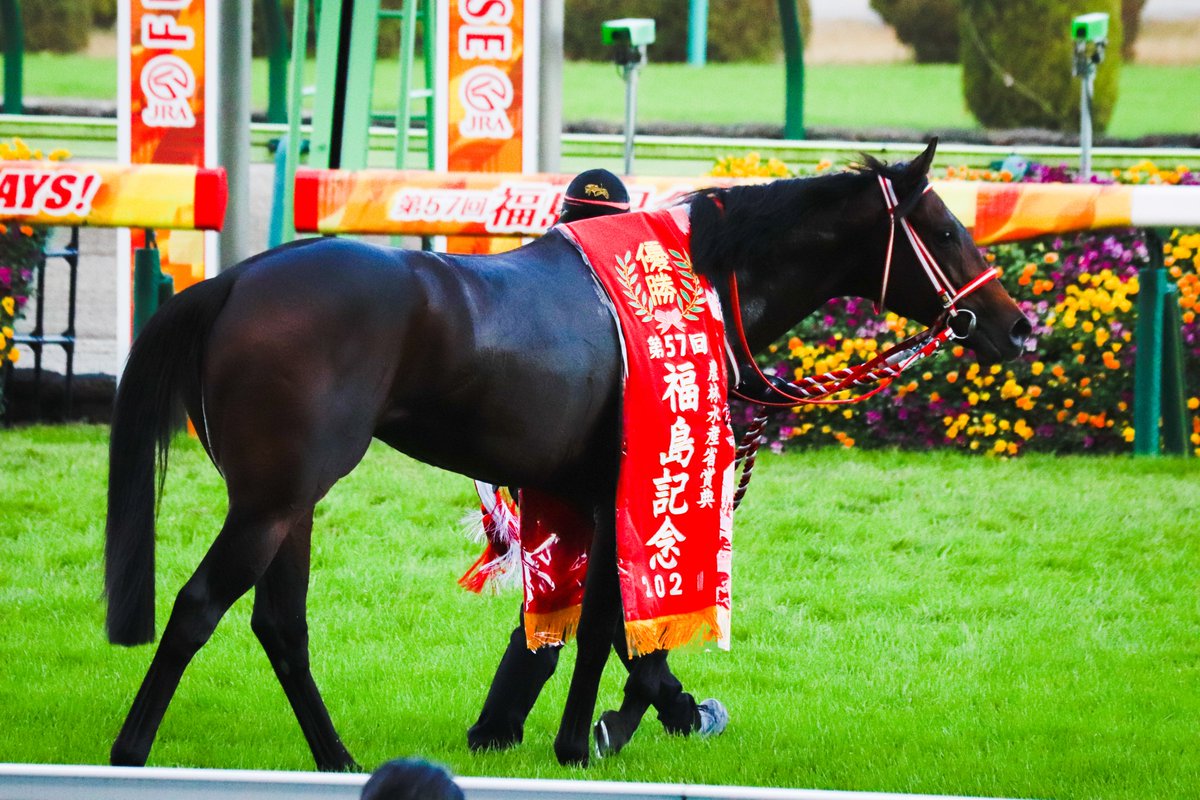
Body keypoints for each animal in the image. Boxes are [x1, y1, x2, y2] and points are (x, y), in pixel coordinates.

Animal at [104, 139, 1032, 770]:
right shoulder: (634, 480)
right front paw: (613, 728)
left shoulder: (594, 489)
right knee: (198, 606)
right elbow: (615, 633)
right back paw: (130, 752)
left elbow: (598, 629)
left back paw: (336, 759)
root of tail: (232, 282)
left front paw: (605, 720)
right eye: (946, 227)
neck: (697, 281)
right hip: (274, 495)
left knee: (279, 625)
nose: (1017, 326)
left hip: (291, 499)